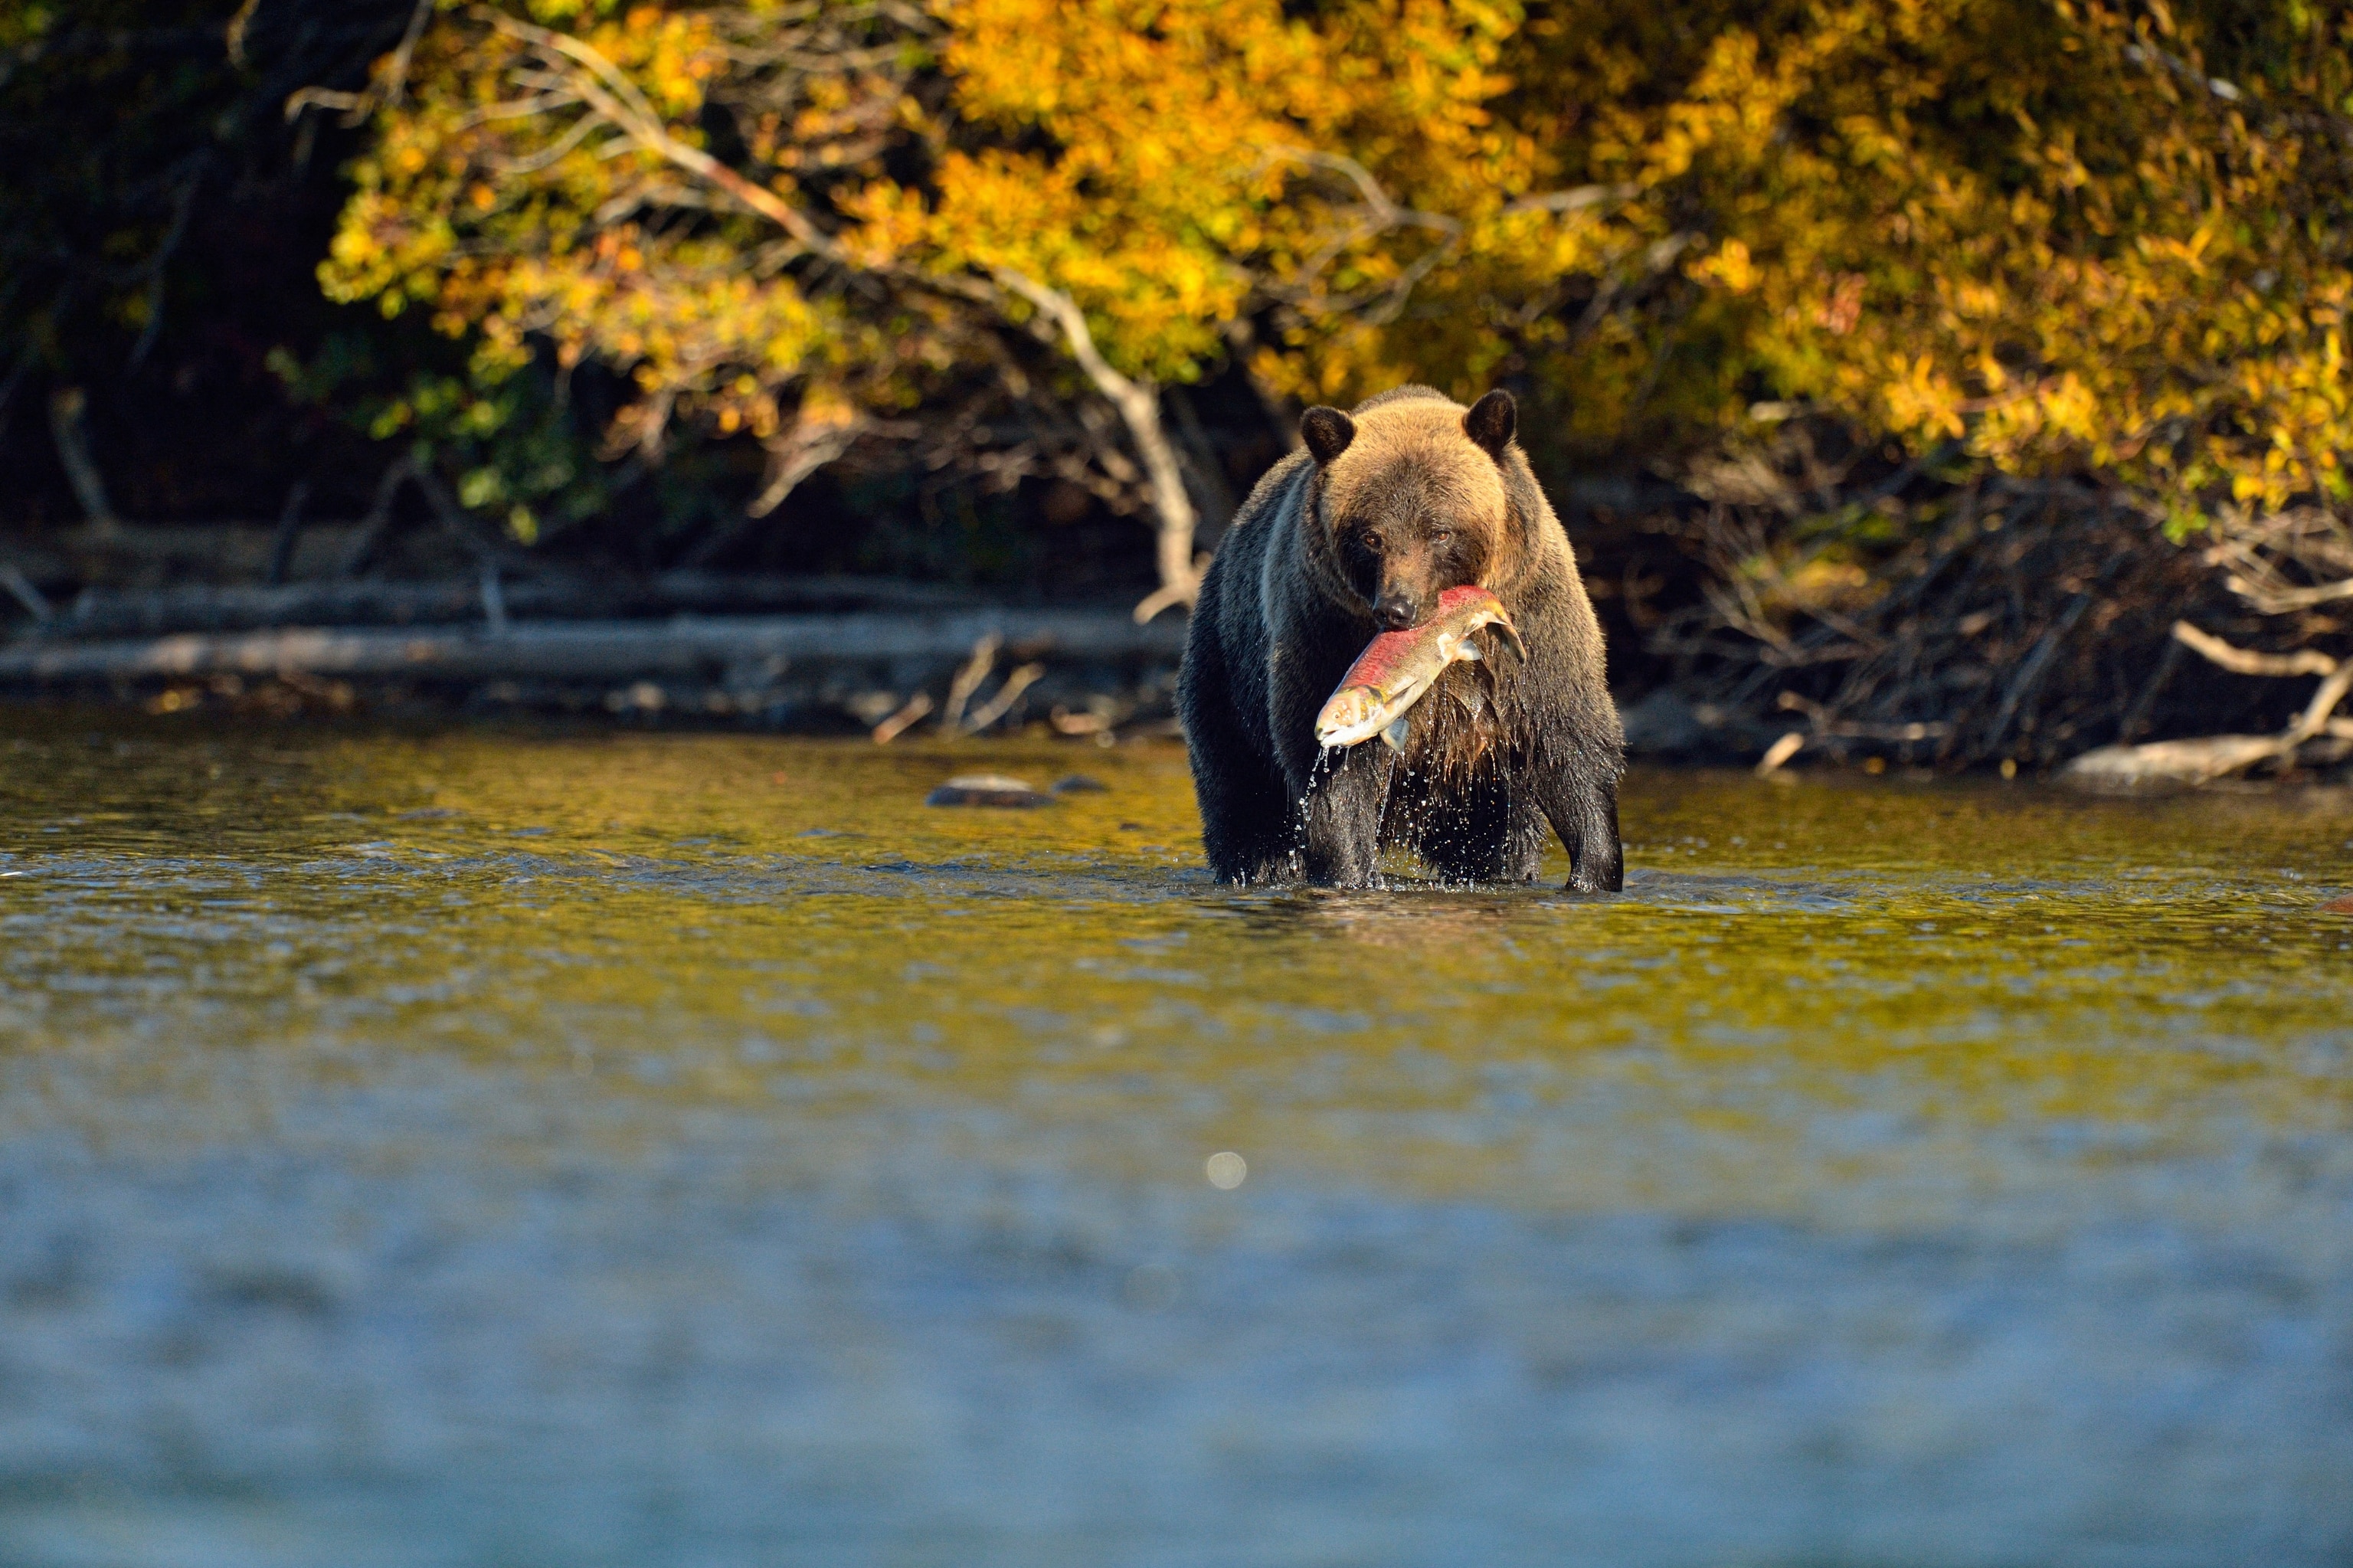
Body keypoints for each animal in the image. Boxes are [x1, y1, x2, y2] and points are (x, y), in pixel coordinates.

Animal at [1176, 384, 1624, 892]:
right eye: (1372, 537)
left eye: (1440, 532)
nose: (1396, 607)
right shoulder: (1323, 631)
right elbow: (1332, 776)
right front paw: (1352, 872)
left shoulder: (1534, 629)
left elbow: (1567, 741)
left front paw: (1593, 870)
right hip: (1226, 671)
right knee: (1242, 795)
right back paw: (1259, 866)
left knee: (1502, 831)